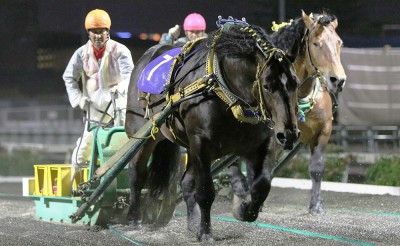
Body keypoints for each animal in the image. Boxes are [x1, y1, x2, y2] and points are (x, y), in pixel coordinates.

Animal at [126, 22, 298, 241]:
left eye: (295, 83)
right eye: (267, 85)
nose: (289, 133)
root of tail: (150, 53)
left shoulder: (257, 144)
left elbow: (262, 185)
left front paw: (244, 209)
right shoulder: (201, 143)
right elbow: (206, 191)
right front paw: (206, 232)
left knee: (186, 182)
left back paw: (192, 223)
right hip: (143, 134)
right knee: (137, 173)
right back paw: (134, 219)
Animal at [230, 11, 346, 215]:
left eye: (339, 42)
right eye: (316, 43)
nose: (338, 80)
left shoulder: (324, 130)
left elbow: (316, 168)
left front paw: (316, 206)